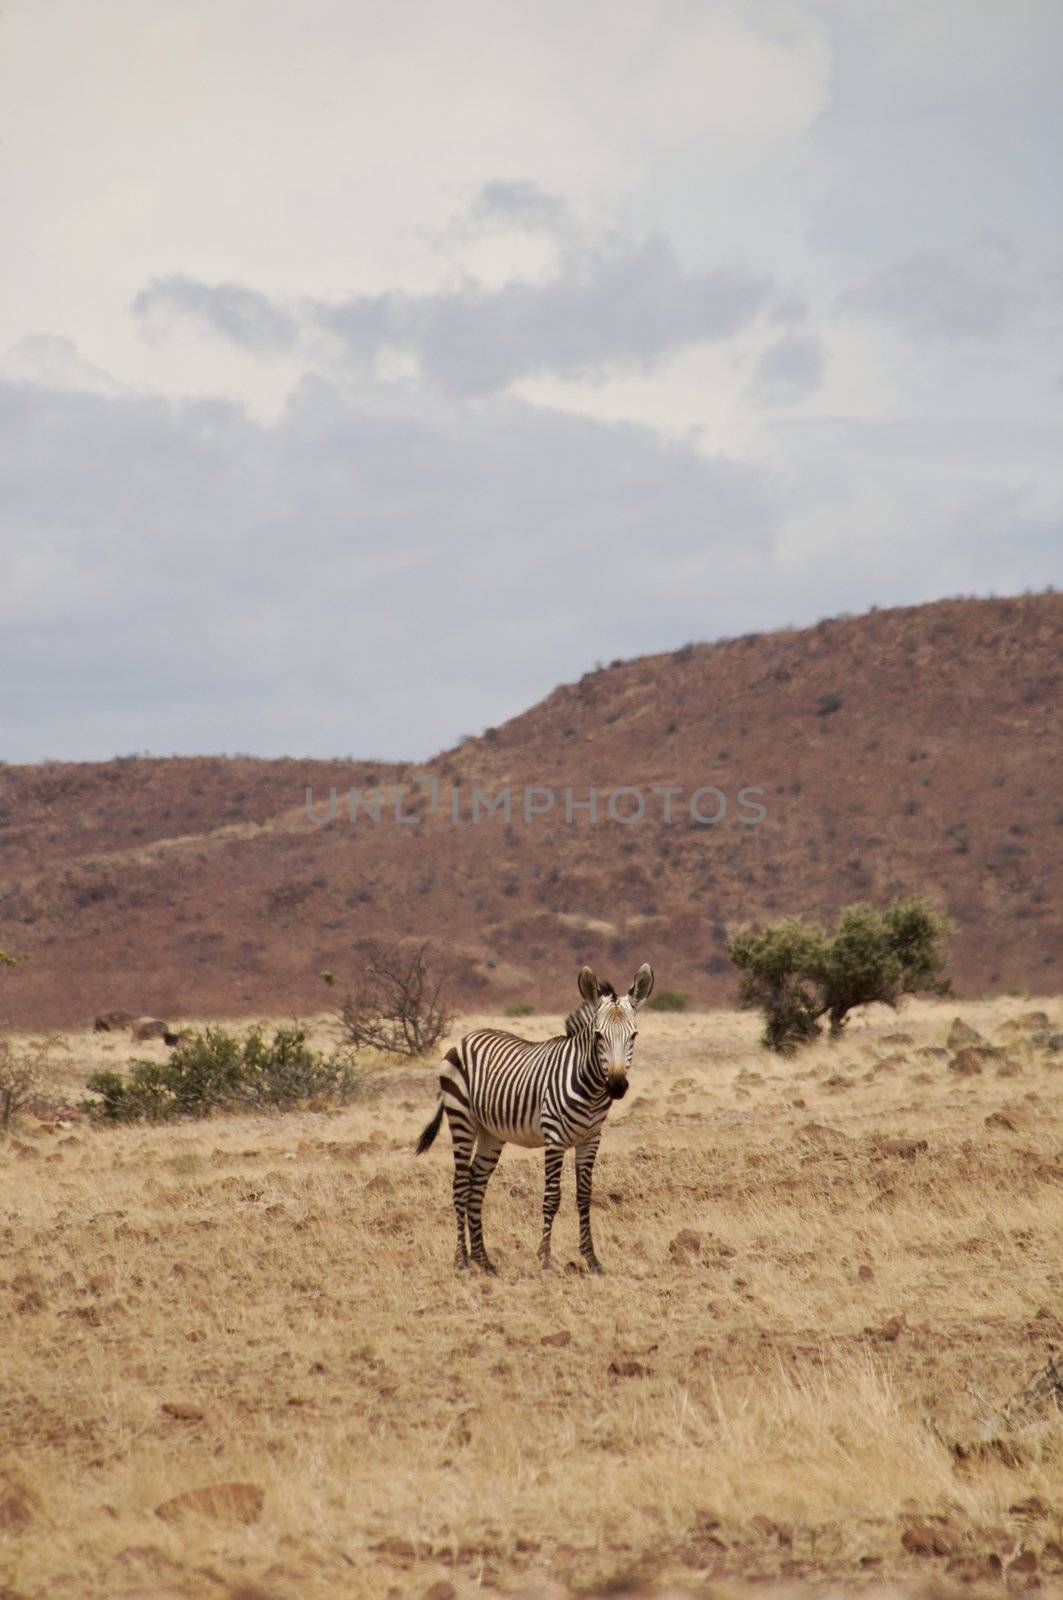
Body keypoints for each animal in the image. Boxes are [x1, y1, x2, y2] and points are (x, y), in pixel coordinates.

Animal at [416, 960, 653, 1273]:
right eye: (598, 1035)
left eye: (634, 1035)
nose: (616, 1085)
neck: (590, 1090)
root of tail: (466, 1038)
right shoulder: (554, 1139)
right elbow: (552, 1198)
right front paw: (545, 1260)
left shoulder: (591, 1139)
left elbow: (584, 1196)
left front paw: (591, 1259)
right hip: (462, 1120)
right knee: (460, 1185)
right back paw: (463, 1261)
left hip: (491, 1133)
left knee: (476, 1186)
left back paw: (484, 1260)